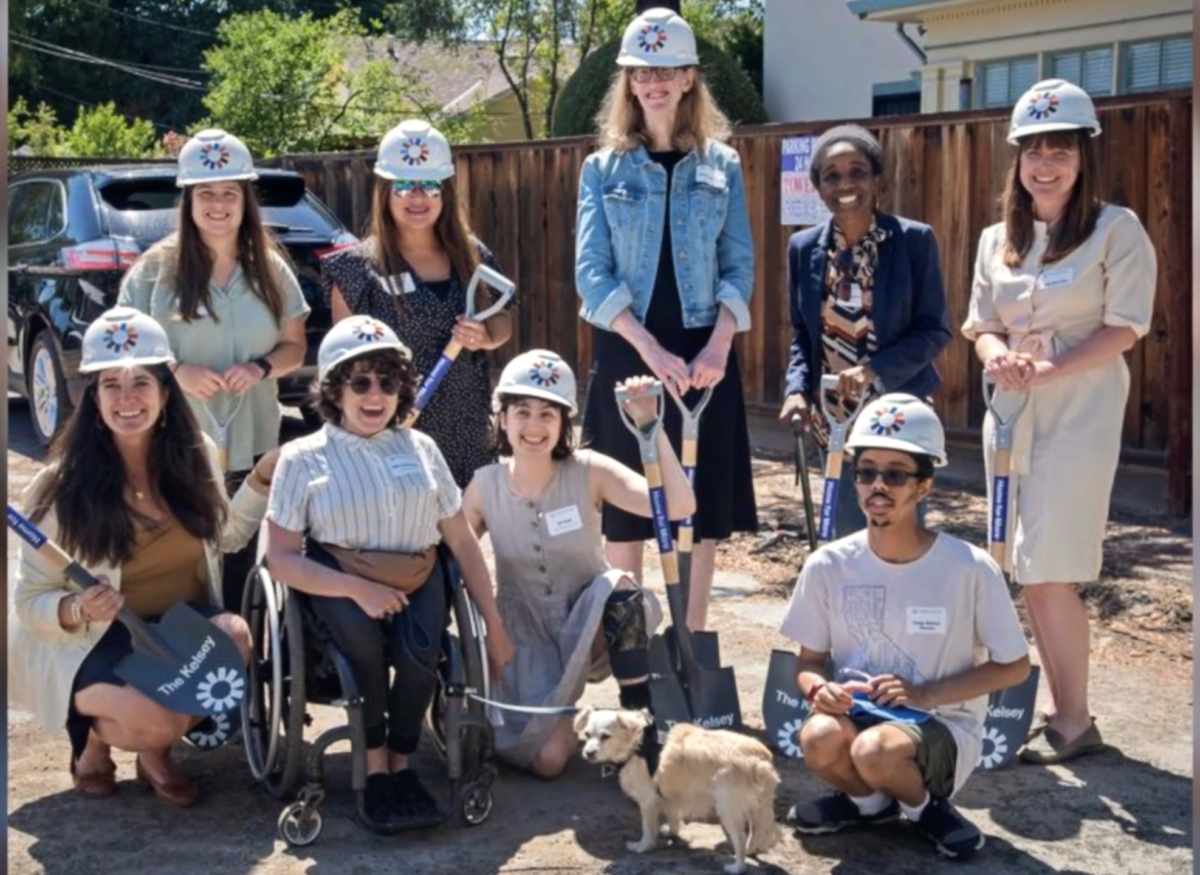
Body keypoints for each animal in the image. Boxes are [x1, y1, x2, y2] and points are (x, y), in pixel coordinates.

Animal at [573, 705, 782, 868]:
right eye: (587, 735)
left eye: (605, 736)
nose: (588, 753)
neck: (638, 746)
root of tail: (760, 756)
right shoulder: (670, 797)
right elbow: (673, 818)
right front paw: (671, 833)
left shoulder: (648, 801)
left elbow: (647, 829)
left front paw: (642, 848)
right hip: (753, 805)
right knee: (756, 832)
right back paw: (749, 852)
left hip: (729, 808)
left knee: (740, 837)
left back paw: (737, 867)